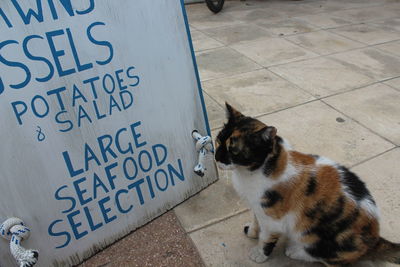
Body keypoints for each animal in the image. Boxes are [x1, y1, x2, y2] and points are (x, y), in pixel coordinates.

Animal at [216, 103, 400, 266]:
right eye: (218, 140)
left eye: (234, 151)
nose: (217, 158)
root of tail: (376, 239)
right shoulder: (258, 206)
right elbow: (255, 219)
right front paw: (252, 231)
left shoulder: (273, 217)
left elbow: (266, 237)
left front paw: (259, 254)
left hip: (323, 238)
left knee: (325, 258)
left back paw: (295, 251)